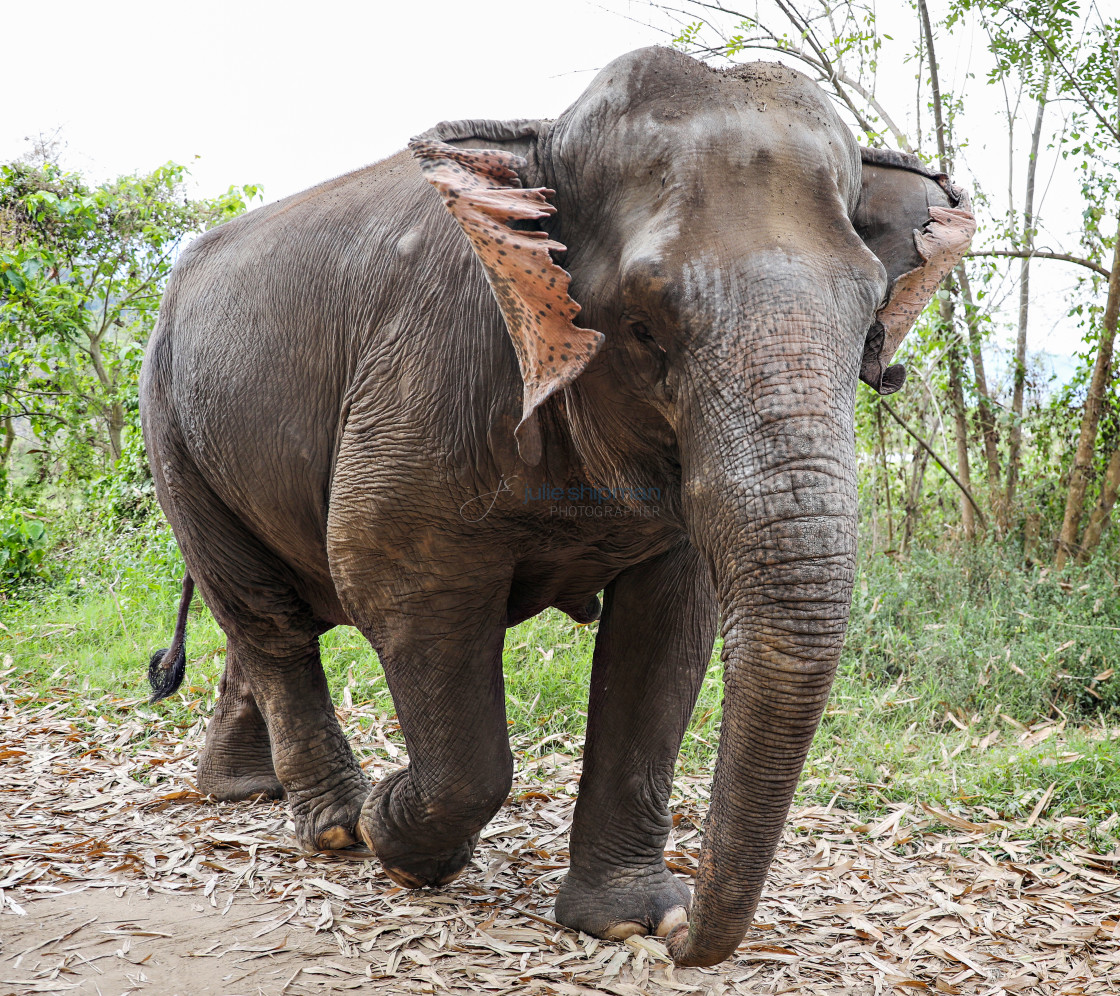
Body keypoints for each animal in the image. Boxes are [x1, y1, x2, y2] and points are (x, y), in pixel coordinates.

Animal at [142, 46, 972, 963]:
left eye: (870, 322)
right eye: (644, 329)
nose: (685, 937)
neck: (538, 134)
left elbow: (669, 624)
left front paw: (629, 919)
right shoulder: (424, 380)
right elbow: (396, 577)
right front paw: (394, 831)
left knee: (268, 616)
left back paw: (244, 791)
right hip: (171, 426)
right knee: (269, 616)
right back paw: (333, 825)